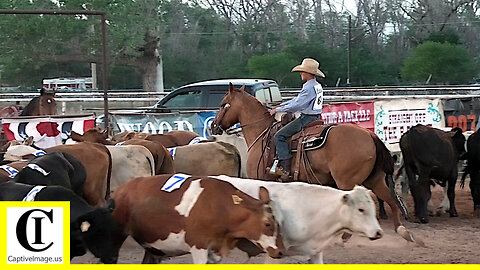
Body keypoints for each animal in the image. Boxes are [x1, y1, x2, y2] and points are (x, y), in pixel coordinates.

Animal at [212, 84, 422, 245]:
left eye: (223, 104)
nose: (213, 126)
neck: (262, 133)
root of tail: (369, 134)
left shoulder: (260, 179)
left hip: (347, 181)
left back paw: (343, 237)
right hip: (375, 178)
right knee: (392, 200)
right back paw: (403, 232)